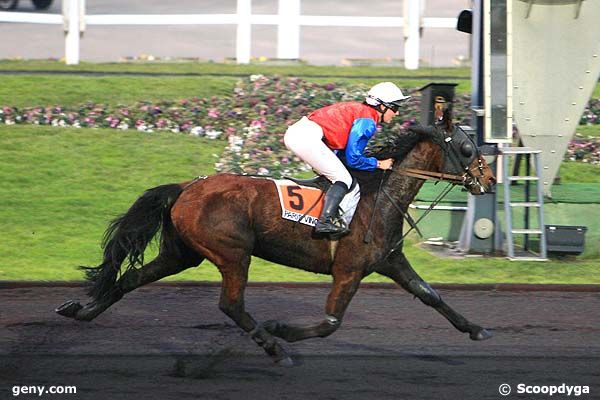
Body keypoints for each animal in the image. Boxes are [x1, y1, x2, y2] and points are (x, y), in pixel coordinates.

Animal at [57, 121, 496, 366]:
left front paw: (477, 330)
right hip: (232, 253)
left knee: (131, 279)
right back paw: (273, 347)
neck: (380, 196)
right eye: (467, 147)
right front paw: (282, 330)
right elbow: (331, 323)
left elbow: (430, 295)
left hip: (181, 254)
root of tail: (186, 186)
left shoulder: (389, 262)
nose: (489, 181)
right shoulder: (349, 269)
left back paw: (82, 310)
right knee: (231, 304)